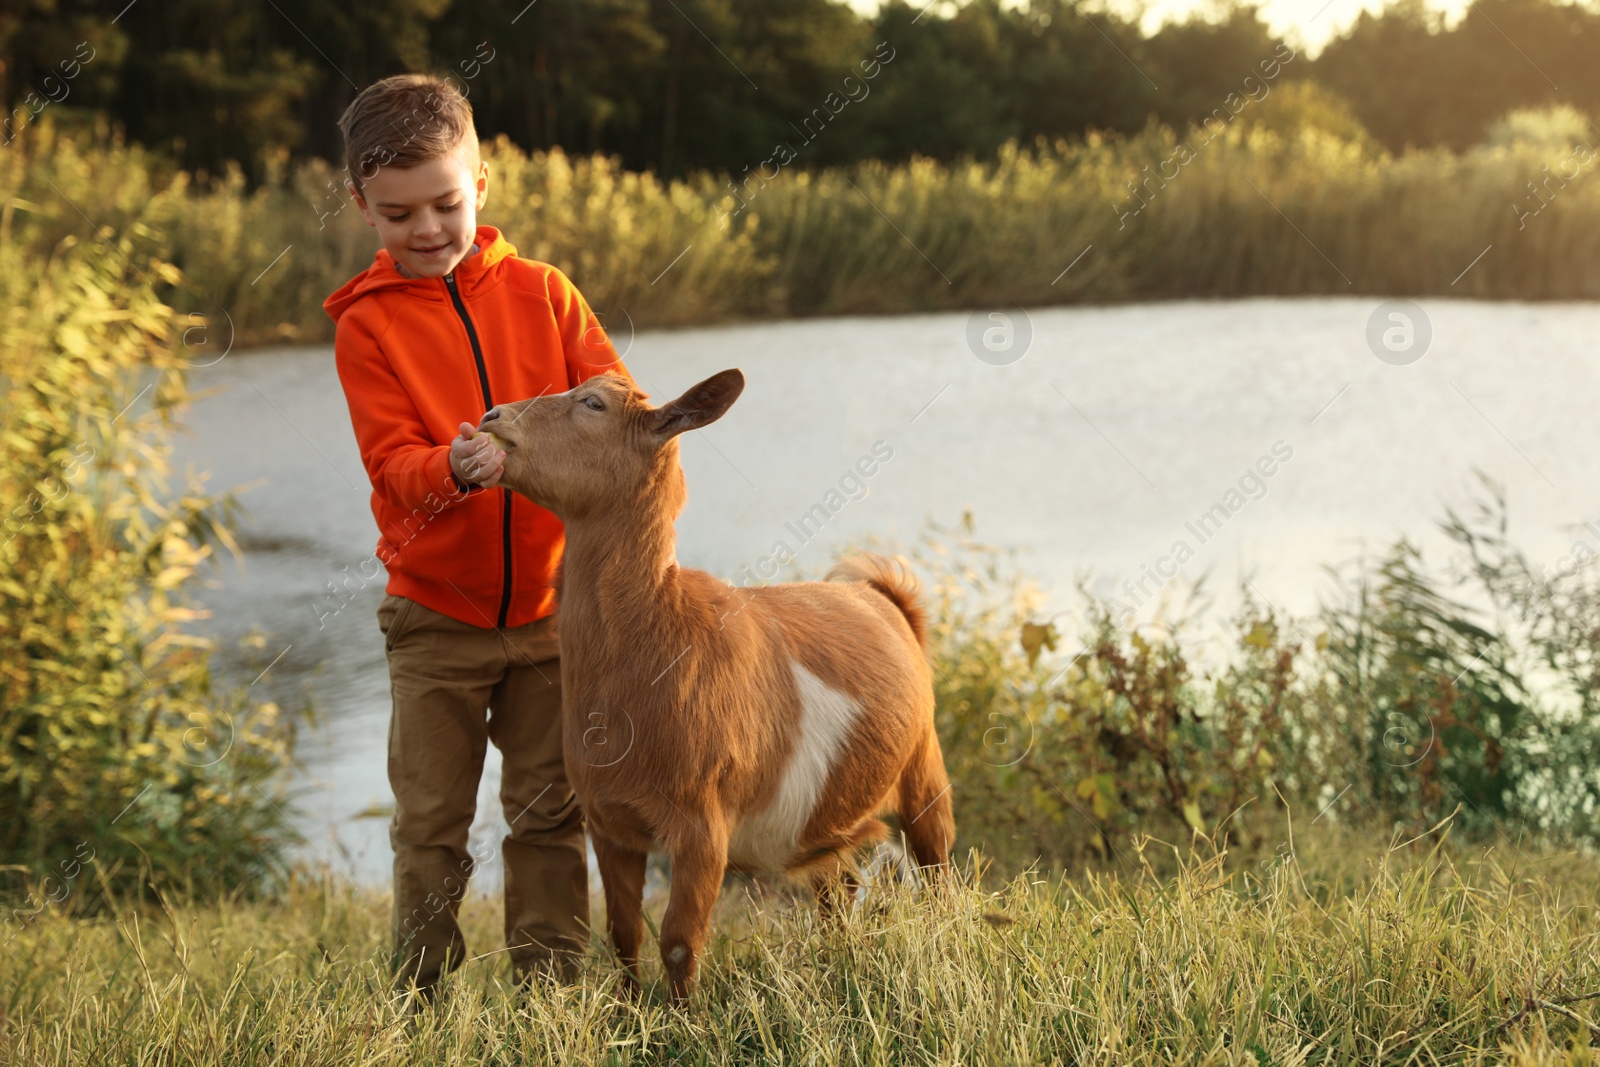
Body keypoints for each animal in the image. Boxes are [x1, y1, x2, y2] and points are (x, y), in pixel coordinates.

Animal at [476, 367, 947, 1004]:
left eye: (593, 403)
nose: (492, 416)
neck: (660, 638)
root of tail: (880, 595)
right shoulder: (609, 823)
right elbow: (623, 934)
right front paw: (629, 1015)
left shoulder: (702, 827)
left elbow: (678, 939)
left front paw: (686, 1020)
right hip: (827, 821)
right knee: (839, 888)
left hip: (924, 770)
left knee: (939, 869)